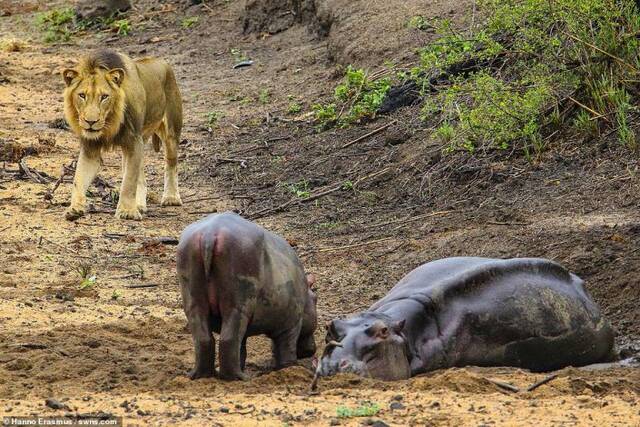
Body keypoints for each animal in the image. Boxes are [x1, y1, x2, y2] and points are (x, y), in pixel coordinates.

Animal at [61, 50, 182, 221]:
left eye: (104, 96)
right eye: (82, 95)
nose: (91, 122)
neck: (111, 123)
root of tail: (162, 62)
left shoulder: (133, 141)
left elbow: (129, 181)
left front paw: (127, 212)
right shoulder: (91, 148)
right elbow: (78, 178)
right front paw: (74, 209)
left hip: (171, 131)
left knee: (171, 164)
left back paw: (171, 198)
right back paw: (139, 205)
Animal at [178, 213, 318, 382]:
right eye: (316, 298)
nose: (311, 350)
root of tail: (209, 233)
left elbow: (242, 350)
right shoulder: (291, 323)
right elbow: (286, 348)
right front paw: (290, 368)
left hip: (194, 298)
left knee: (204, 338)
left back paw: (200, 375)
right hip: (238, 301)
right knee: (228, 339)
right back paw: (240, 378)